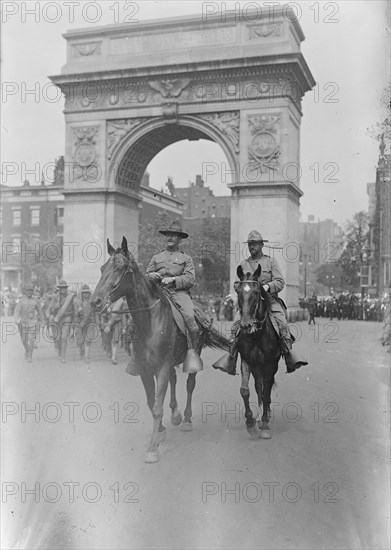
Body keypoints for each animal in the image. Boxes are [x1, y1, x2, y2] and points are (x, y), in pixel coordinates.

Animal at [89, 239, 230, 464]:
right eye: (102, 268)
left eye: (119, 268)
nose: (96, 302)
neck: (150, 322)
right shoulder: (146, 369)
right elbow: (151, 401)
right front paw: (161, 430)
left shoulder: (162, 366)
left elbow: (157, 406)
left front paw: (153, 448)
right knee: (173, 380)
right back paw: (175, 414)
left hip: (191, 357)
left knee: (189, 385)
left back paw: (186, 419)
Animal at [236, 266, 282, 442]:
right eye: (238, 291)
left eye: (256, 292)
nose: (246, 325)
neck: (257, 335)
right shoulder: (246, 360)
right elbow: (245, 390)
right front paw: (250, 423)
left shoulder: (270, 363)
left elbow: (267, 391)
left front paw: (265, 425)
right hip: (257, 367)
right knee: (258, 386)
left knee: (265, 388)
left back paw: (266, 415)